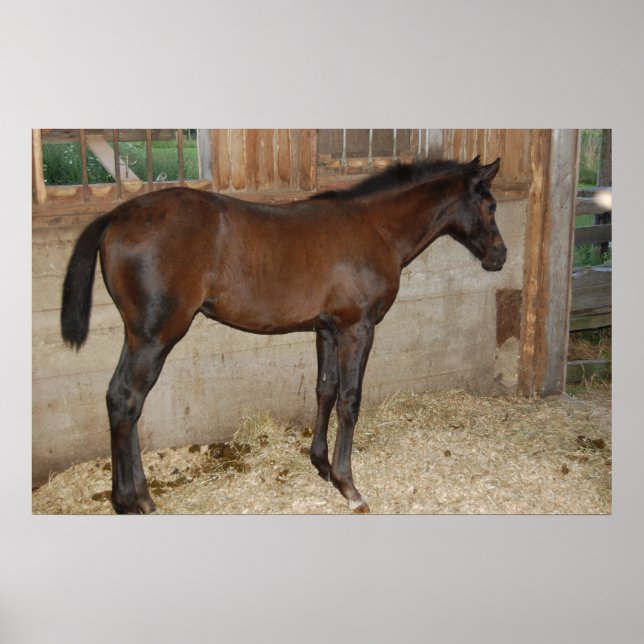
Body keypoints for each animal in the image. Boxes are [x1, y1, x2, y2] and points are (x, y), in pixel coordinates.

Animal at [61, 155, 506, 514]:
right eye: (490, 205)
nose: (499, 256)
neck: (375, 228)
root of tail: (116, 216)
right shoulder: (357, 328)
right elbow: (349, 400)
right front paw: (349, 486)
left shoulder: (326, 329)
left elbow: (325, 390)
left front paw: (322, 466)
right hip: (155, 336)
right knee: (126, 400)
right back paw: (133, 500)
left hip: (137, 334)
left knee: (121, 400)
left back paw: (134, 496)